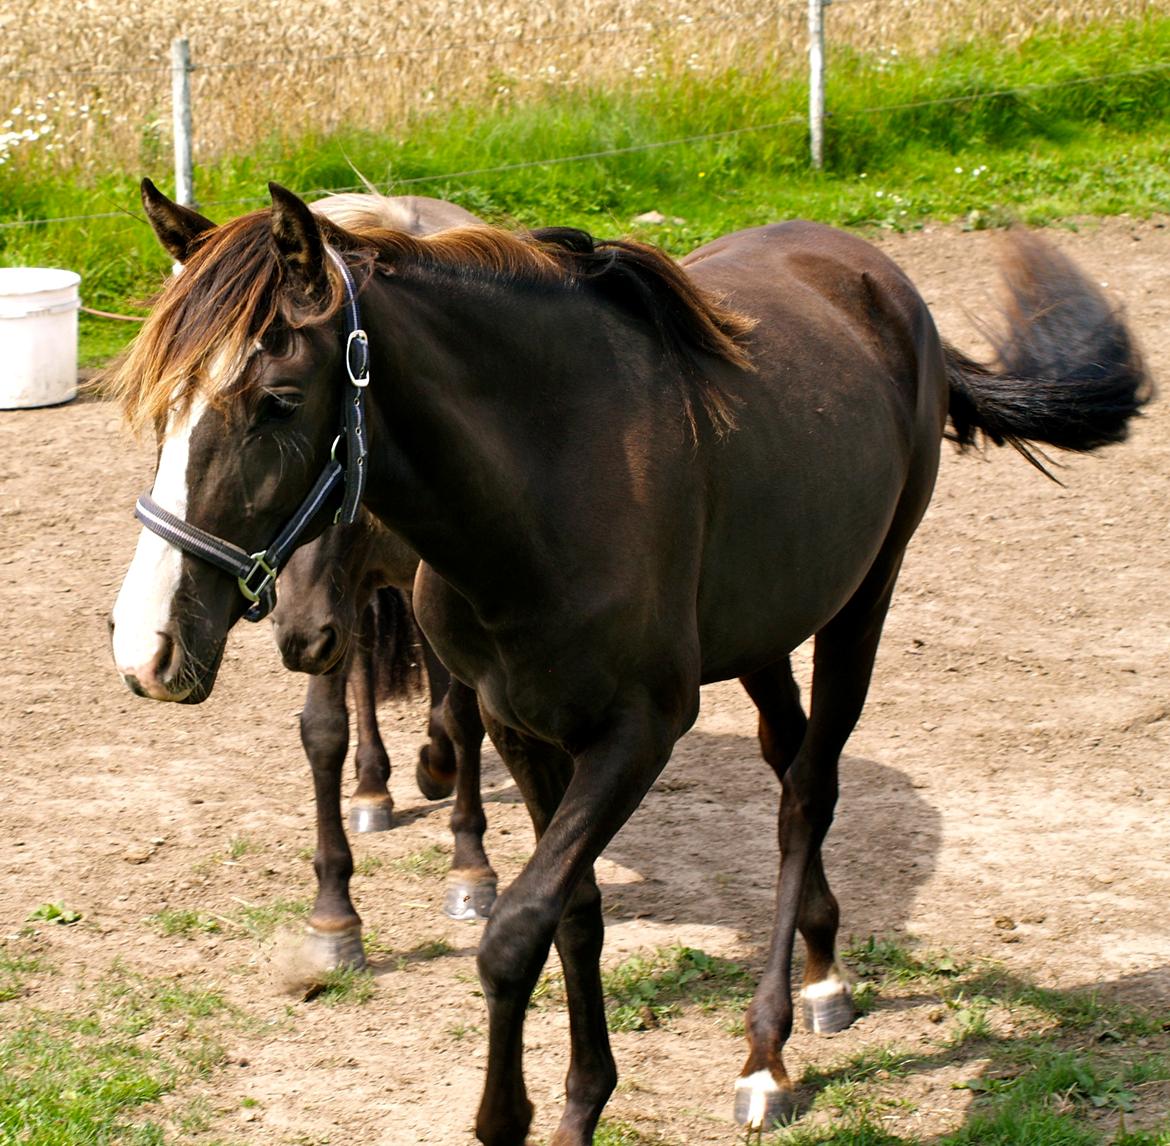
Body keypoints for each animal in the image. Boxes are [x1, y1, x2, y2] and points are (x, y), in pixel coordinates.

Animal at [105, 183, 1146, 1142]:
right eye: (162, 406)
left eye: (275, 403)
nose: (146, 646)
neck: (547, 481)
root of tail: (881, 278)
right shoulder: (522, 725)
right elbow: (573, 913)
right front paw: (580, 1103)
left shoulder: (638, 734)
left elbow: (516, 930)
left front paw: (511, 1117)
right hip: (763, 631)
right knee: (788, 762)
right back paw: (822, 967)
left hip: (862, 605)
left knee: (808, 795)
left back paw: (769, 1051)